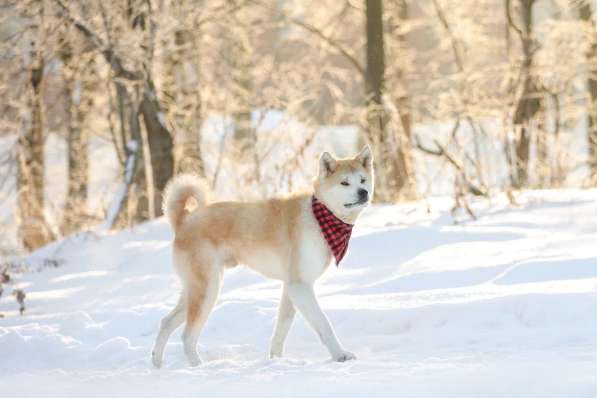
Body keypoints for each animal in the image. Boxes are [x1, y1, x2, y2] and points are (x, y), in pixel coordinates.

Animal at [149, 146, 372, 366]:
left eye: (362, 180)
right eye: (344, 182)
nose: (364, 192)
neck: (319, 217)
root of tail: (185, 220)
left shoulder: (291, 289)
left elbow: (281, 329)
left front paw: (277, 360)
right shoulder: (300, 287)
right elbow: (324, 325)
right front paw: (340, 355)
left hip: (194, 290)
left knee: (166, 322)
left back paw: (157, 363)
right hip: (207, 290)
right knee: (187, 336)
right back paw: (198, 365)